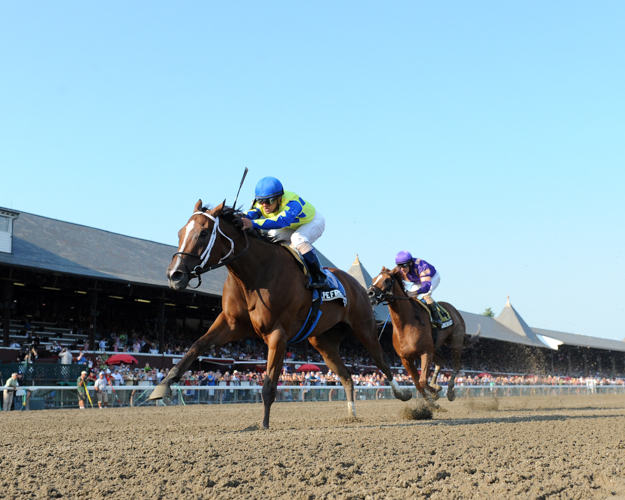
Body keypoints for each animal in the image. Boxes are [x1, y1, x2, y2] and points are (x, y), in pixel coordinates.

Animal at [146, 199, 410, 426]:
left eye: (202, 233)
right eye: (180, 233)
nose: (174, 275)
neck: (254, 274)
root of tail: (360, 285)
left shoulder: (277, 334)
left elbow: (269, 384)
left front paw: (263, 425)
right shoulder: (231, 323)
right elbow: (196, 346)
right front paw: (163, 385)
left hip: (364, 328)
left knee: (382, 361)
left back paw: (404, 394)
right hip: (323, 342)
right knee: (346, 376)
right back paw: (352, 414)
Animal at [366, 268, 478, 404]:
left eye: (387, 280)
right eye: (373, 279)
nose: (370, 293)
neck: (406, 325)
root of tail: (455, 310)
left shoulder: (425, 352)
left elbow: (422, 381)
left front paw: (434, 393)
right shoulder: (406, 359)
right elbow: (418, 383)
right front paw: (433, 397)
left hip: (456, 341)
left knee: (456, 364)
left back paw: (450, 392)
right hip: (434, 346)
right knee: (441, 360)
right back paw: (436, 385)